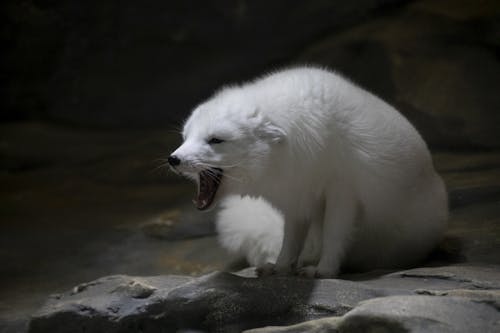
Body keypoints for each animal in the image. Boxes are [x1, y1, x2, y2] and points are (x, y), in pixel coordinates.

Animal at [170, 66, 448, 276]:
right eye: (185, 137)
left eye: (215, 140)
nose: (173, 159)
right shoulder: (298, 196)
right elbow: (290, 239)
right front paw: (280, 267)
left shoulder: (342, 191)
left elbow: (335, 234)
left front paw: (324, 271)